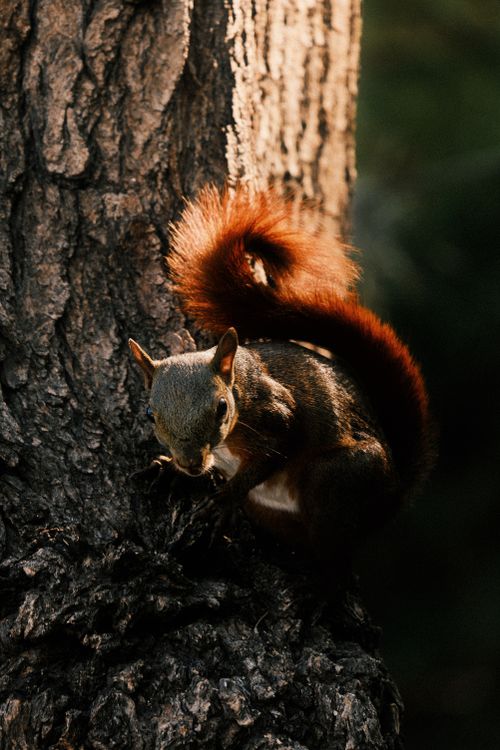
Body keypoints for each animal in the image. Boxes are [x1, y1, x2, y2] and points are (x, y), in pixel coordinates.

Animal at [129, 185, 433, 570]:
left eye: (222, 408)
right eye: (149, 415)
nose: (191, 464)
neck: (241, 389)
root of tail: (392, 493)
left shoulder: (278, 415)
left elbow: (275, 451)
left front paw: (222, 500)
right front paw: (168, 467)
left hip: (335, 478)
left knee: (332, 551)